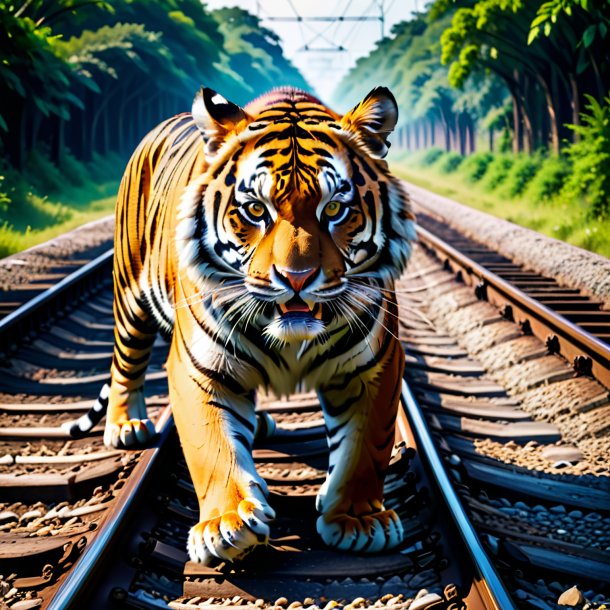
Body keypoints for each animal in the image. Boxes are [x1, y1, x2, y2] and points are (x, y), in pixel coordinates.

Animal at [65, 84, 414, 560]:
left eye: (334, 209)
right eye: (254, 210)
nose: (297, 278)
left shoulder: (374, 365)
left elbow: (366, 447)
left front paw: (358, 520)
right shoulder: (199, 366)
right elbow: (211, 446)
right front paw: (226, 524)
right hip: (130, 294)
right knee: (126, 361)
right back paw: (126, 426)